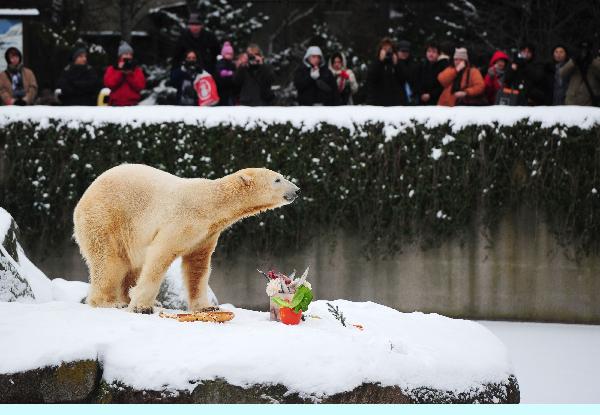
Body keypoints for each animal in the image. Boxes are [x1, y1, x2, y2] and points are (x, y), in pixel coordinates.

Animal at [74, 164, 298, 314]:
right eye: (277, 179)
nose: (297, 190)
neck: (210, 202)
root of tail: (84, 197)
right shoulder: (182, 220)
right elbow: (159, 256)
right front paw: (141, 307)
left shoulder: (206, 233)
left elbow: (197, 267)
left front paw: (207, 307)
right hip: (106, 219)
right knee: (109, 262)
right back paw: (110, 302)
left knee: (131, 266)